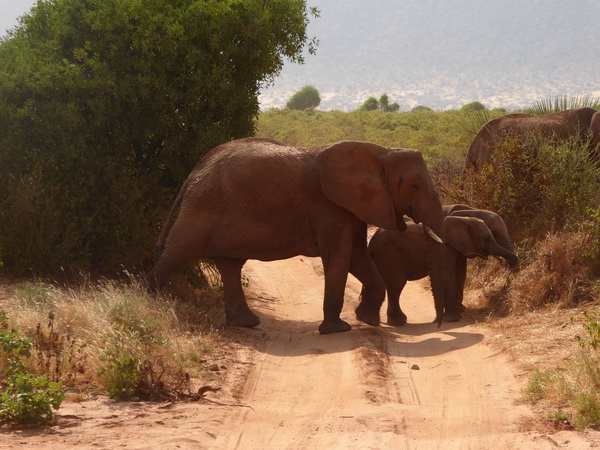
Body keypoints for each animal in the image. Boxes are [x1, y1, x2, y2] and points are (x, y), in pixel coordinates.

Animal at [145, 137, 446, 334]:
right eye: (415, 185)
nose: (439, 324)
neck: (380, 152)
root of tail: (193, 173)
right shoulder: (330, 207)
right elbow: (340, 257)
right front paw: (338, 329)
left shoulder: (354, 206)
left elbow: (358, 257)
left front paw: (367, 320)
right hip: (203, 208)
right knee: (177, 252)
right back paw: (148, 302)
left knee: (229, 266)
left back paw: (246, 323)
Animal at [368, 206, 516, 326]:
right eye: (488, 239)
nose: (511, 267)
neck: (466, 216)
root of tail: (372, 241)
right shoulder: (446, 247)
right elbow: (449, 274)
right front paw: (453, 318)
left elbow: (461, 274)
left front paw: (461, 311)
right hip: (388, 254)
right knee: (396, 285)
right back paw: (398, 322)